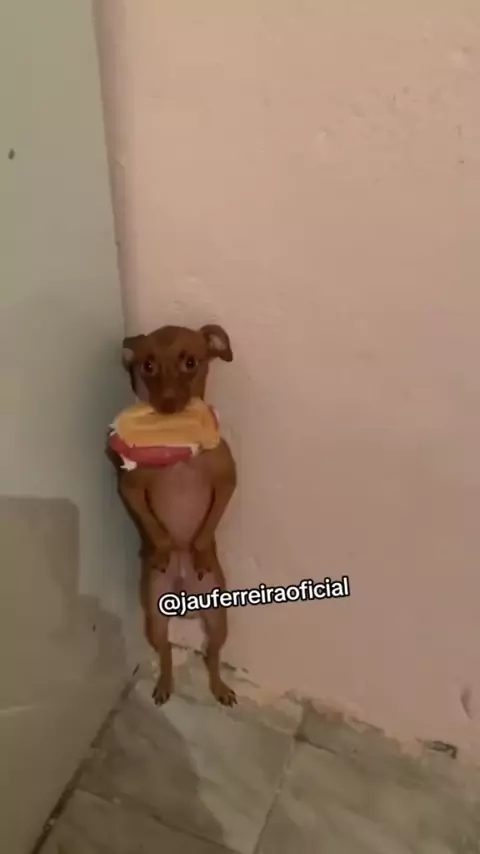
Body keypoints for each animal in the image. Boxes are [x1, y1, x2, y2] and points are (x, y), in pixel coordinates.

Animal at [108, 324, 237, 706]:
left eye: (191, 362)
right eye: (148, 366)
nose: (166, 403)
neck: (178, 443)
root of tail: (183, 590)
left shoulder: (228, 481)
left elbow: (207, 528)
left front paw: (199, 549)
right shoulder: (130, 488)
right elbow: (156, 529)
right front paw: (164, 548)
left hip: (218, 618)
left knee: (212, 655)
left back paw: (219, 687)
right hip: (154, 617)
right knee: (165, 653)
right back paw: (165, 683)